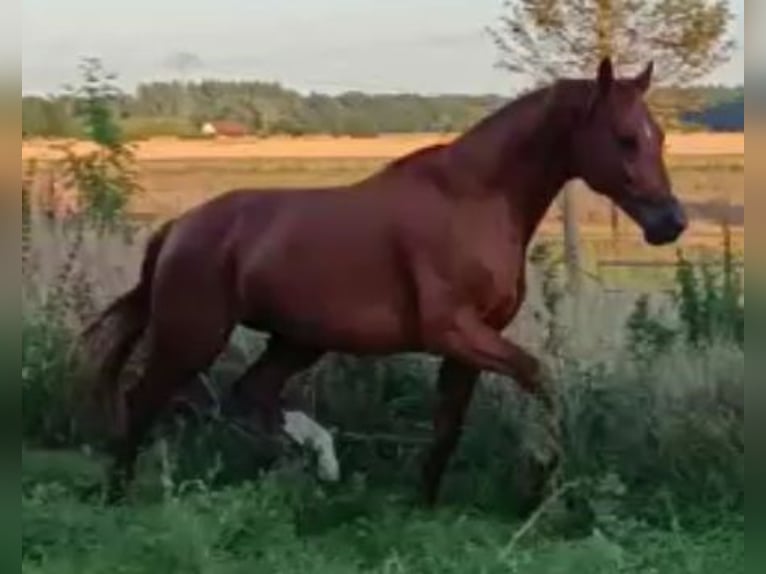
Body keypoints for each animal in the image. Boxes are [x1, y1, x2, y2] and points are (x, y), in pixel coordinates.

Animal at [84, 58, 688, 508]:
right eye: (625, 138)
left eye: (659, 137)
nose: (671, 223)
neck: (473, 199)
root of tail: (178, 227)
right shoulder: (455, 332)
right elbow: (542, 380)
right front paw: (540, 476)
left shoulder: (469, 346)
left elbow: (448, 426)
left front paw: (425, 502)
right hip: (195, 336)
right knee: (144, 398)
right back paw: (119, 493)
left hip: (297, 339)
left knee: (251, 394)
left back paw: (318, 462)